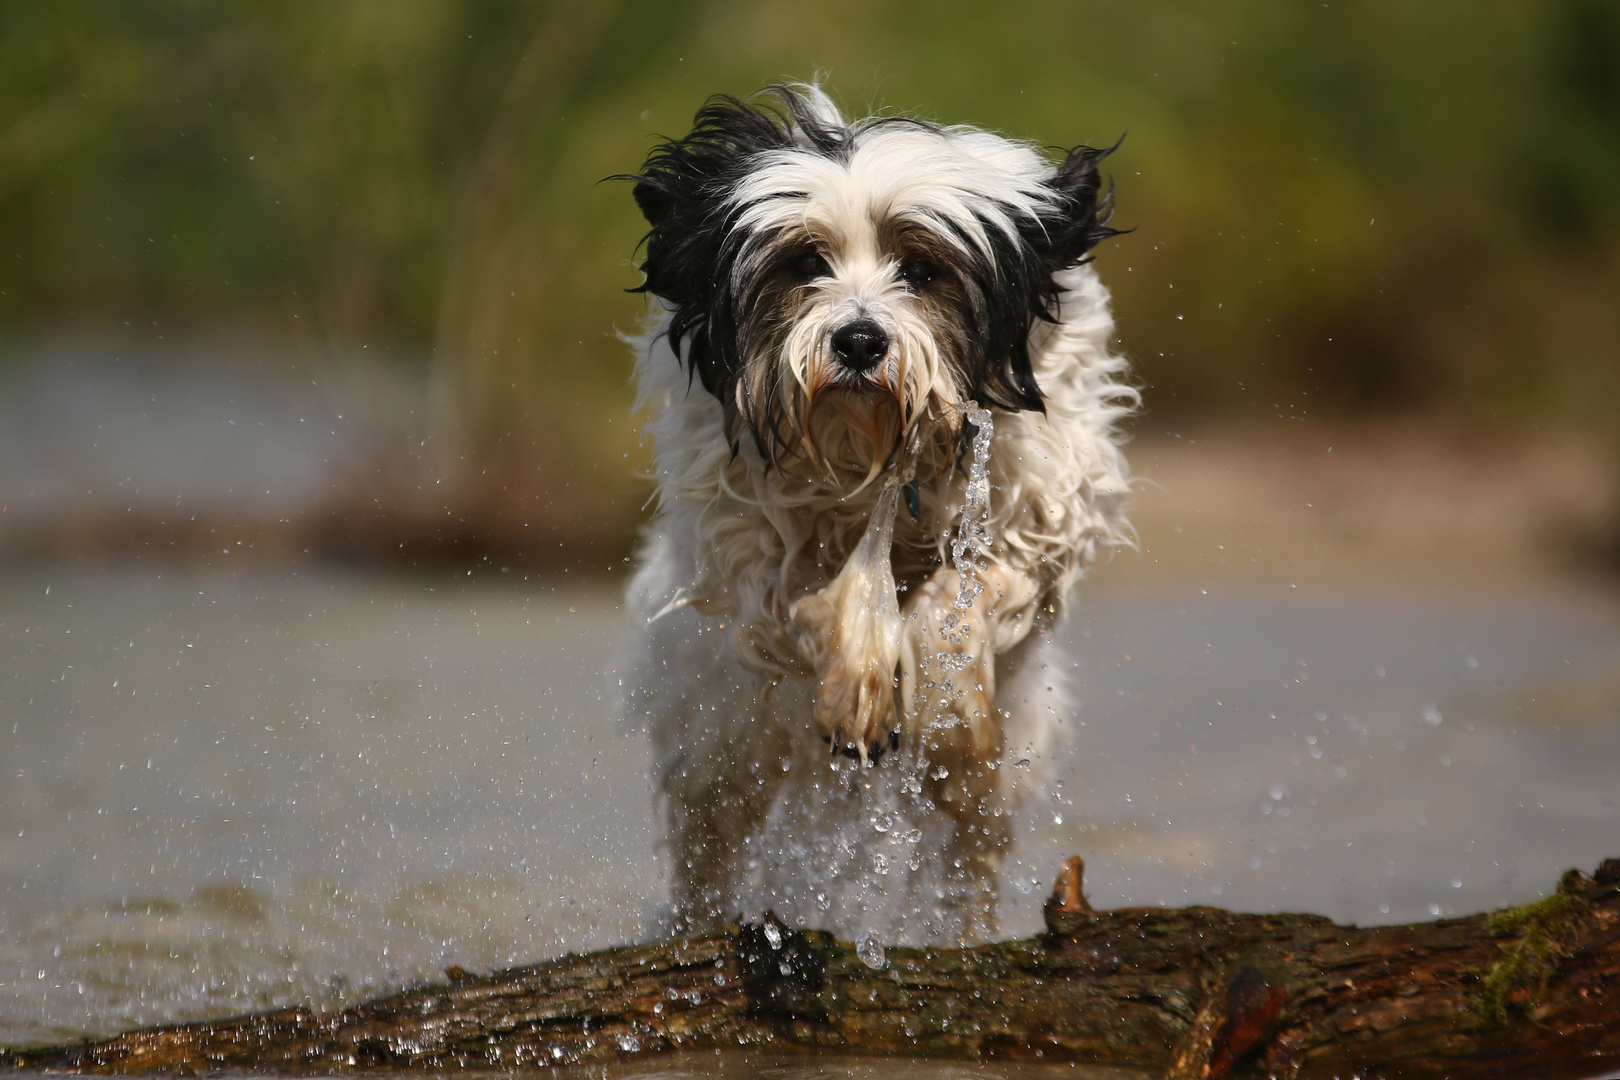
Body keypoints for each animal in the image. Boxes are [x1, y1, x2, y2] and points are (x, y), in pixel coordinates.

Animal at [612, 86, 1134, 945]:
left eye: (923, 271)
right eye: (803, 264)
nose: (859, 340)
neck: (878, 458)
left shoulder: (1042, 514)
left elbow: (969, 595)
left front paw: (945, 707)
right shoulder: (742, 535)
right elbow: (807, 597)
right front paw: (858, 680)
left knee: (972, 844)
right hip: (715, 726)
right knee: (709, 842)